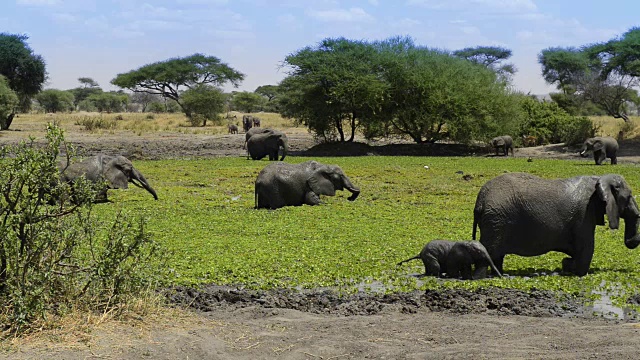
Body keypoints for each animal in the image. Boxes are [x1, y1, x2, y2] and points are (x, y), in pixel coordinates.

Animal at [470, 172, 640, 276]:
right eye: (629, 196)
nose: (632, 241)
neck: (599, 178)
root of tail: (480, 201)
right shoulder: (584, 214)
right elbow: (586, 248)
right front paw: (576, 271)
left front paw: (567, 265)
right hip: (496, 220)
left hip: (496, 220)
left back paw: (500, 274)